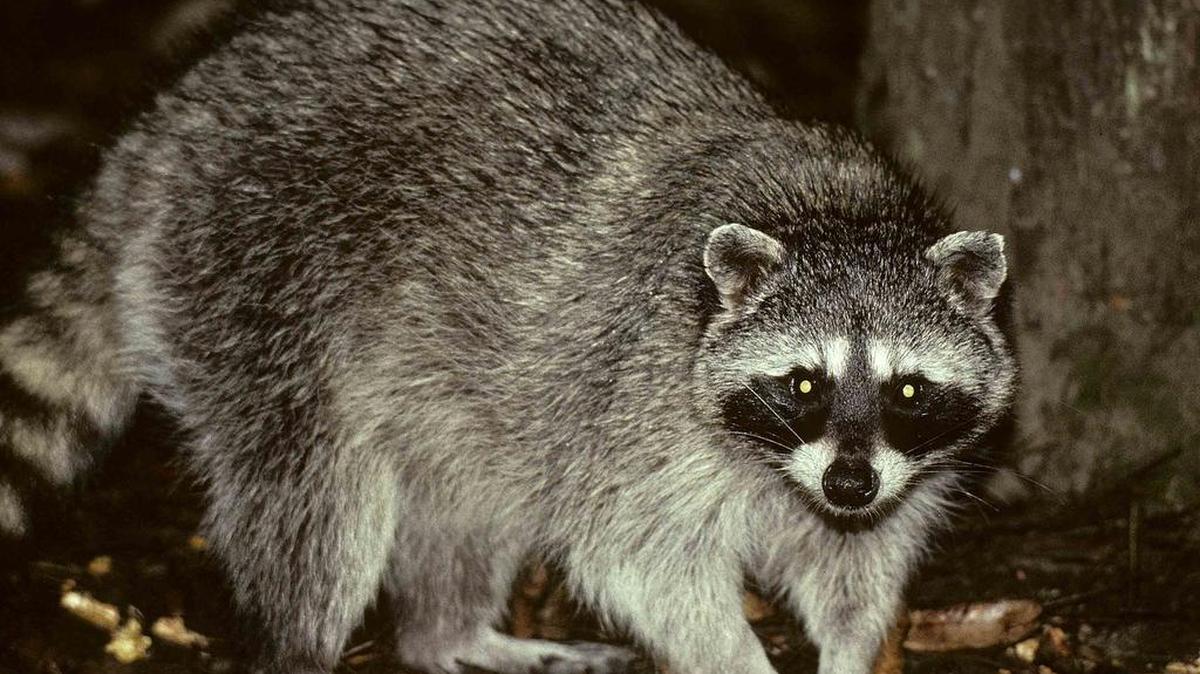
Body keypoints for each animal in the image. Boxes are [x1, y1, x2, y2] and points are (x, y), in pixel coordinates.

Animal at [0, 0, 1019, 672]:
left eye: (909, 389)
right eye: (804, 382)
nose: (848, 483)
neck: (837, 214)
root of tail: (169, 125)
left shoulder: (886, 467)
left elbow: (855, 560)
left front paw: (847, 648)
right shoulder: (637, 399)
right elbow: (638, 561)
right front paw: (737, 658)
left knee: (466, 507)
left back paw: (450, 635)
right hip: (258, 277)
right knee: (319, 502)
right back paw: (306, 644)